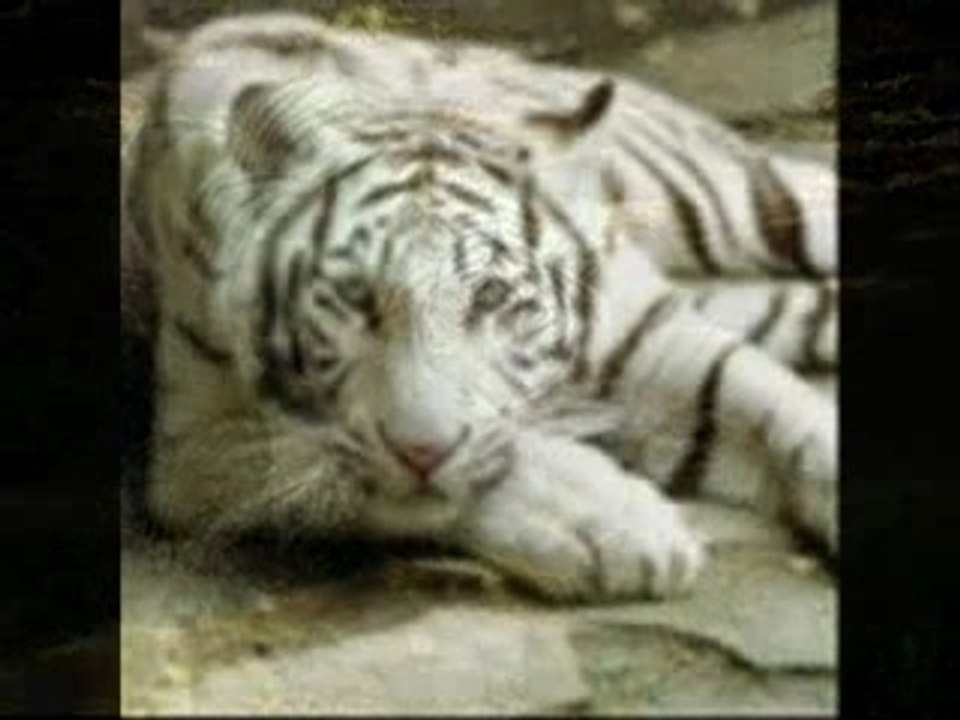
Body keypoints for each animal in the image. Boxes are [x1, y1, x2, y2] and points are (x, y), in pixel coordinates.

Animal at [121, 11, 838, 602]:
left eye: (490, 294)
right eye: (356, 297)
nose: (420, 450)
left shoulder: (642, 333)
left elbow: (765, 400)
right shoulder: (198, 444)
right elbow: (439, 470)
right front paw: (616, 530)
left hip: (743, 200)